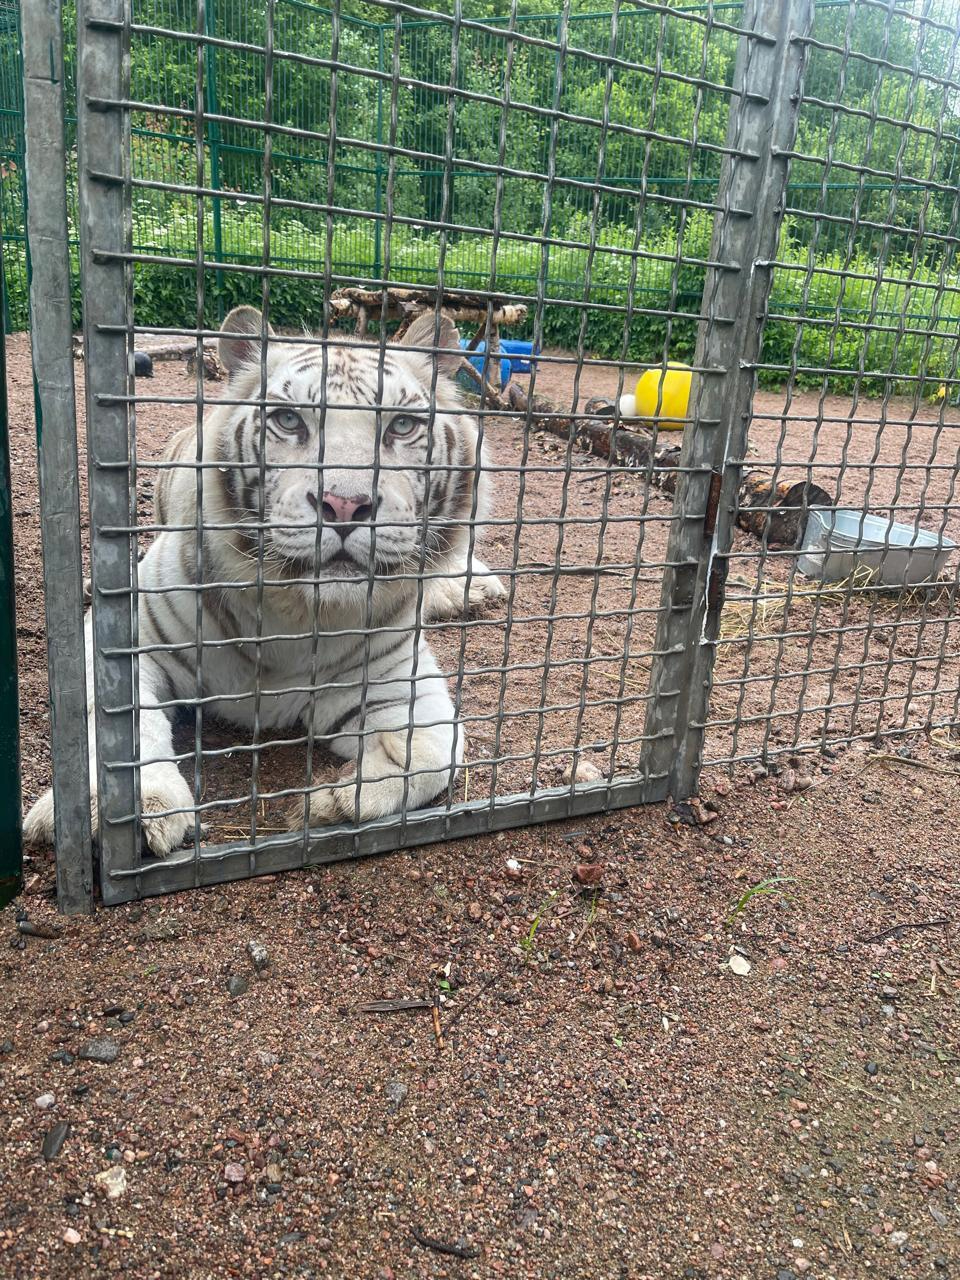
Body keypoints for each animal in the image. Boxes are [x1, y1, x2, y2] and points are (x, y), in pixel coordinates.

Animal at [22, 304, 506, 855]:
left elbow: (436, 750)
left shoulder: (398, 682)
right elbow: (124, 730)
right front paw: (141, 808)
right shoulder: (129, 641)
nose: (345, 504)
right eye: (288, 420)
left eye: (402, 426)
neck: (294, 616)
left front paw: (336, 802)